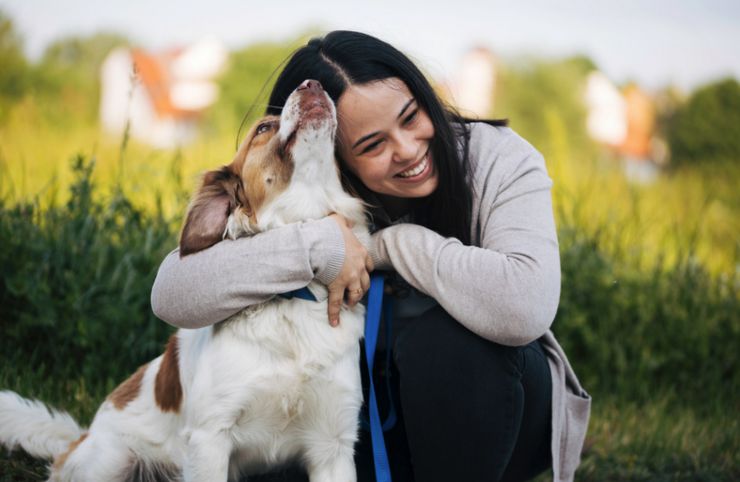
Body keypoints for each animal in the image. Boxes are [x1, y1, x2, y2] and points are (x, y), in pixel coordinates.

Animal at [0, 80, 370, 482]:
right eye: (263, 128)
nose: (312, 84)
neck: (291, 298)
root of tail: (81, 437)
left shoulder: (332, 444)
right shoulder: (210, 436)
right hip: (110, 459)